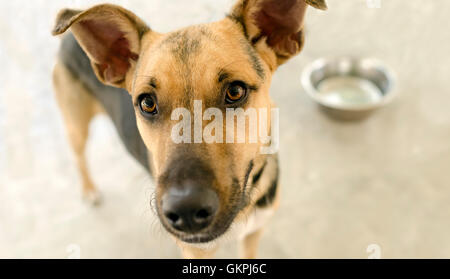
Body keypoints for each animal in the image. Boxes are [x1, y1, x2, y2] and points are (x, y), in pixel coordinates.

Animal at [51, 0, 326, 260]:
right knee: (79, 157)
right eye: (147, 103)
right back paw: (89, 190)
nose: (186, 211)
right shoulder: (195, 251)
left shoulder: (254, 232)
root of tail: (68, 39)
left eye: (235, 91)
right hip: (76, 126)